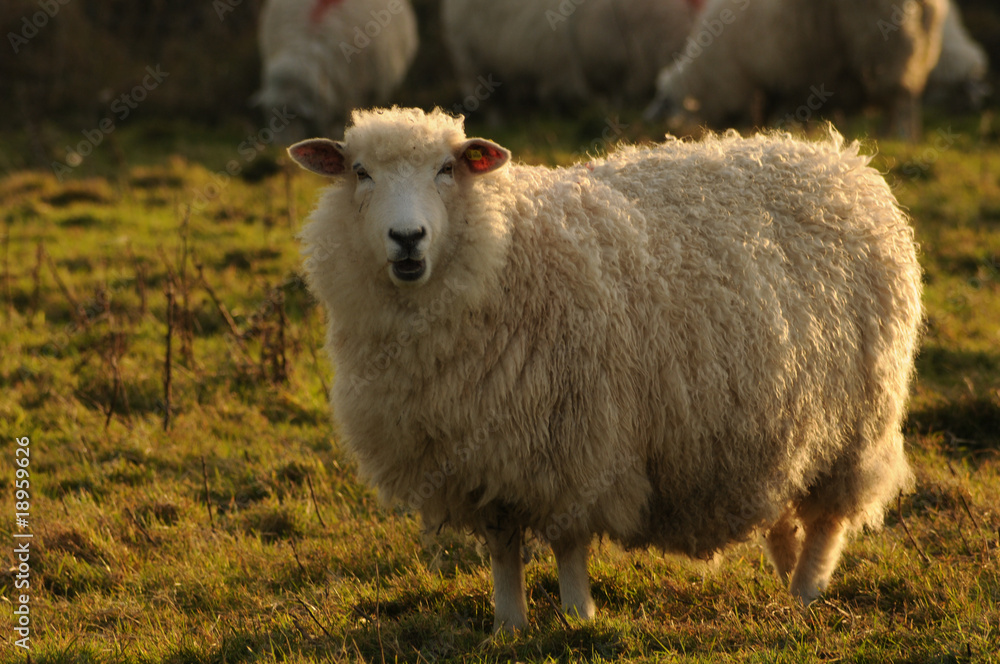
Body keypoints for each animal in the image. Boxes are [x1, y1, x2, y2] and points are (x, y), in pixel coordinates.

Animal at [288, 106, 923, 632]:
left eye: (447, 168)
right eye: (360, 173)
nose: (407, 238)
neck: (502, 252)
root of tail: (841, 161)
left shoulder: (575, 440)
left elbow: (569, 542)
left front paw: (577, 616)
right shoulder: (485, 457)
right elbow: (502, 546)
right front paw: (508, 625)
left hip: (857, 419)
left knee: (830, 518)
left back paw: (806, 589)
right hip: (793, 420)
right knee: (787, 503)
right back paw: (788, 565)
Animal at [645, 0, 948, 139]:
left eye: (666, 100)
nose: (649, 120)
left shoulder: (770, 75)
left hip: (884, 45)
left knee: (902, 100)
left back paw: (901, 139)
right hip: (917, 48)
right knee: (899, 102)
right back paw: (890, 136)